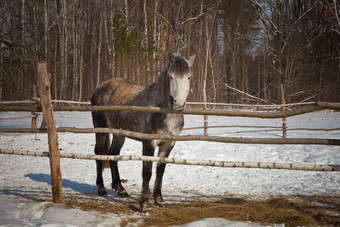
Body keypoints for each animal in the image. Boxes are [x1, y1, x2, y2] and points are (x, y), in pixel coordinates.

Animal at [91, 52, 195, 210]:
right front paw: (144, 204)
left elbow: (160, 171)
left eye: (188, 77)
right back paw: (101, 189)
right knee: (99, 153)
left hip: (119, 133)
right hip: (101, 129)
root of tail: (100, 87)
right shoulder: (148, 143)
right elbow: (147, 172)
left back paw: (121, 189)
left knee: (113, 154)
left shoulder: (168, 144)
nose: (179, 104)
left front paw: (160, 200)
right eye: (171, 77)